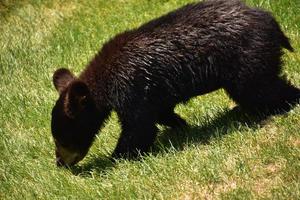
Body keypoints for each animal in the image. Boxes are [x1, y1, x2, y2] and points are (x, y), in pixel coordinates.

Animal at [50, 0, 298, 166]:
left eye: (62, 139)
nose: (60, 163)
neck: (106, 80)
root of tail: (271, 20)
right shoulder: (149, 91)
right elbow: (160, 112)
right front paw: (180, 123)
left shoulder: (130, 86)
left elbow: (139, 127)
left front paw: (117, 157)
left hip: (247, 58)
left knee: (260, 88)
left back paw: (284, 104)